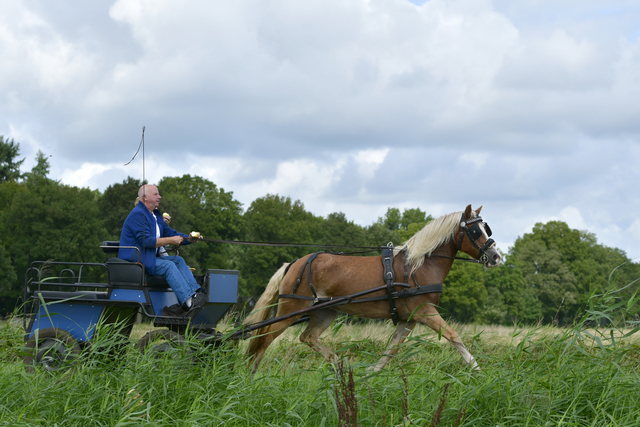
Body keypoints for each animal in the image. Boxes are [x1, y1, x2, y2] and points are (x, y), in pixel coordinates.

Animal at [244, 206, 500, 372]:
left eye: (486, 228)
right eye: (476, 231)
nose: (495, 257)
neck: (418, 266)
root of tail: (295, 263)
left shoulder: (409, 319)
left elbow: (391, 351)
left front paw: (370, 375)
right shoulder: (426, 312)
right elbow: (454, 336)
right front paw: (477, 369)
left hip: (325, 312)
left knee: (308, 336)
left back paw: (339, 364)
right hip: (292, 309)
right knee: (265, 338)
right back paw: (251, 375)